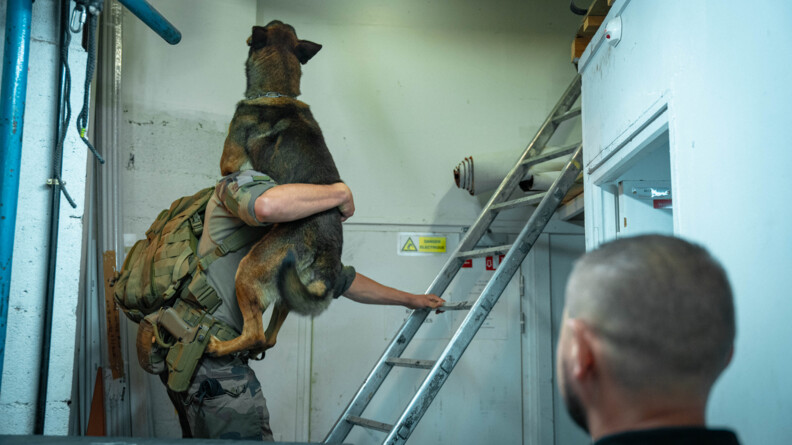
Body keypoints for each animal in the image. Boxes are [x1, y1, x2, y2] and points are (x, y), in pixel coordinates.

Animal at [206, 20, 342, 356]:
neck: (278, 92)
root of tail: (328, 252)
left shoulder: (230, 161)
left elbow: (226, 168)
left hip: (250, 268)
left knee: (255, 333)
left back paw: (219, 346)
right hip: (287, 291)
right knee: (271, 336)